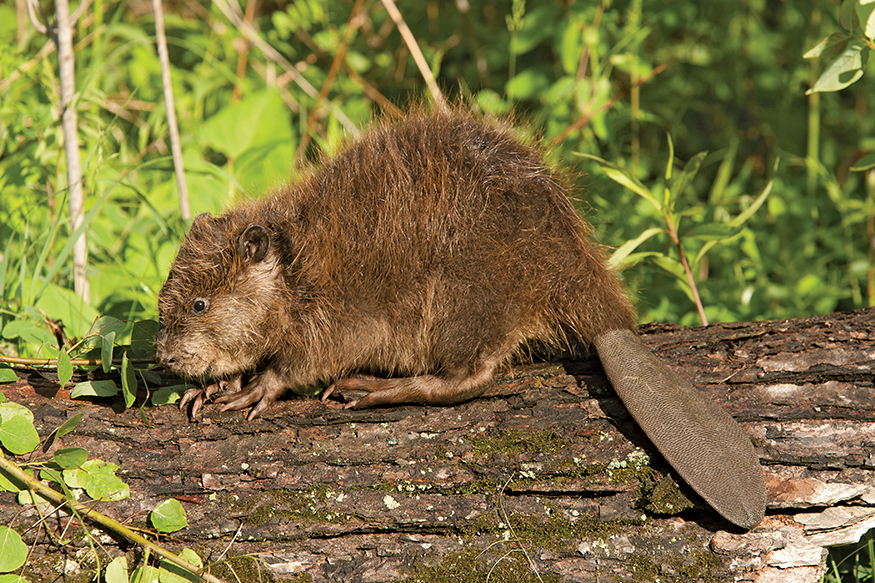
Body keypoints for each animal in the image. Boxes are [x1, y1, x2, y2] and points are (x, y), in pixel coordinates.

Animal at [156, 108, 768, 528]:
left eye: (199, 305)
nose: (164, 355)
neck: (295, 260)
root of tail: (609, 322)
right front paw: (208, 390)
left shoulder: (337, 309)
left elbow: (305, 359)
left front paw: (251, 389)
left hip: (466, 295)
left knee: (470, 376)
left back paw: (368, 388)